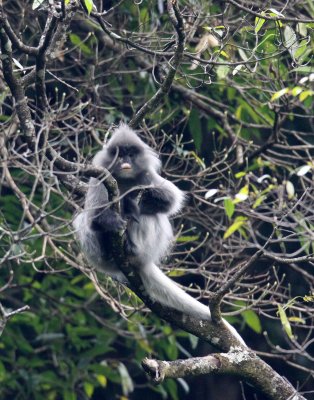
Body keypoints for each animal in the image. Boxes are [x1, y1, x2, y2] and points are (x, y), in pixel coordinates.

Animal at [73, 123, 245, 346]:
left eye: (131, 154)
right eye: (119, 154)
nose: (125, 161)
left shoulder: (147, 176)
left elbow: (172, 200)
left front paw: (137, 197)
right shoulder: (100, 178)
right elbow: (93, 218)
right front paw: (111, 219)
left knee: (151, 214)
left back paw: (131, 244)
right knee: (82, 221)